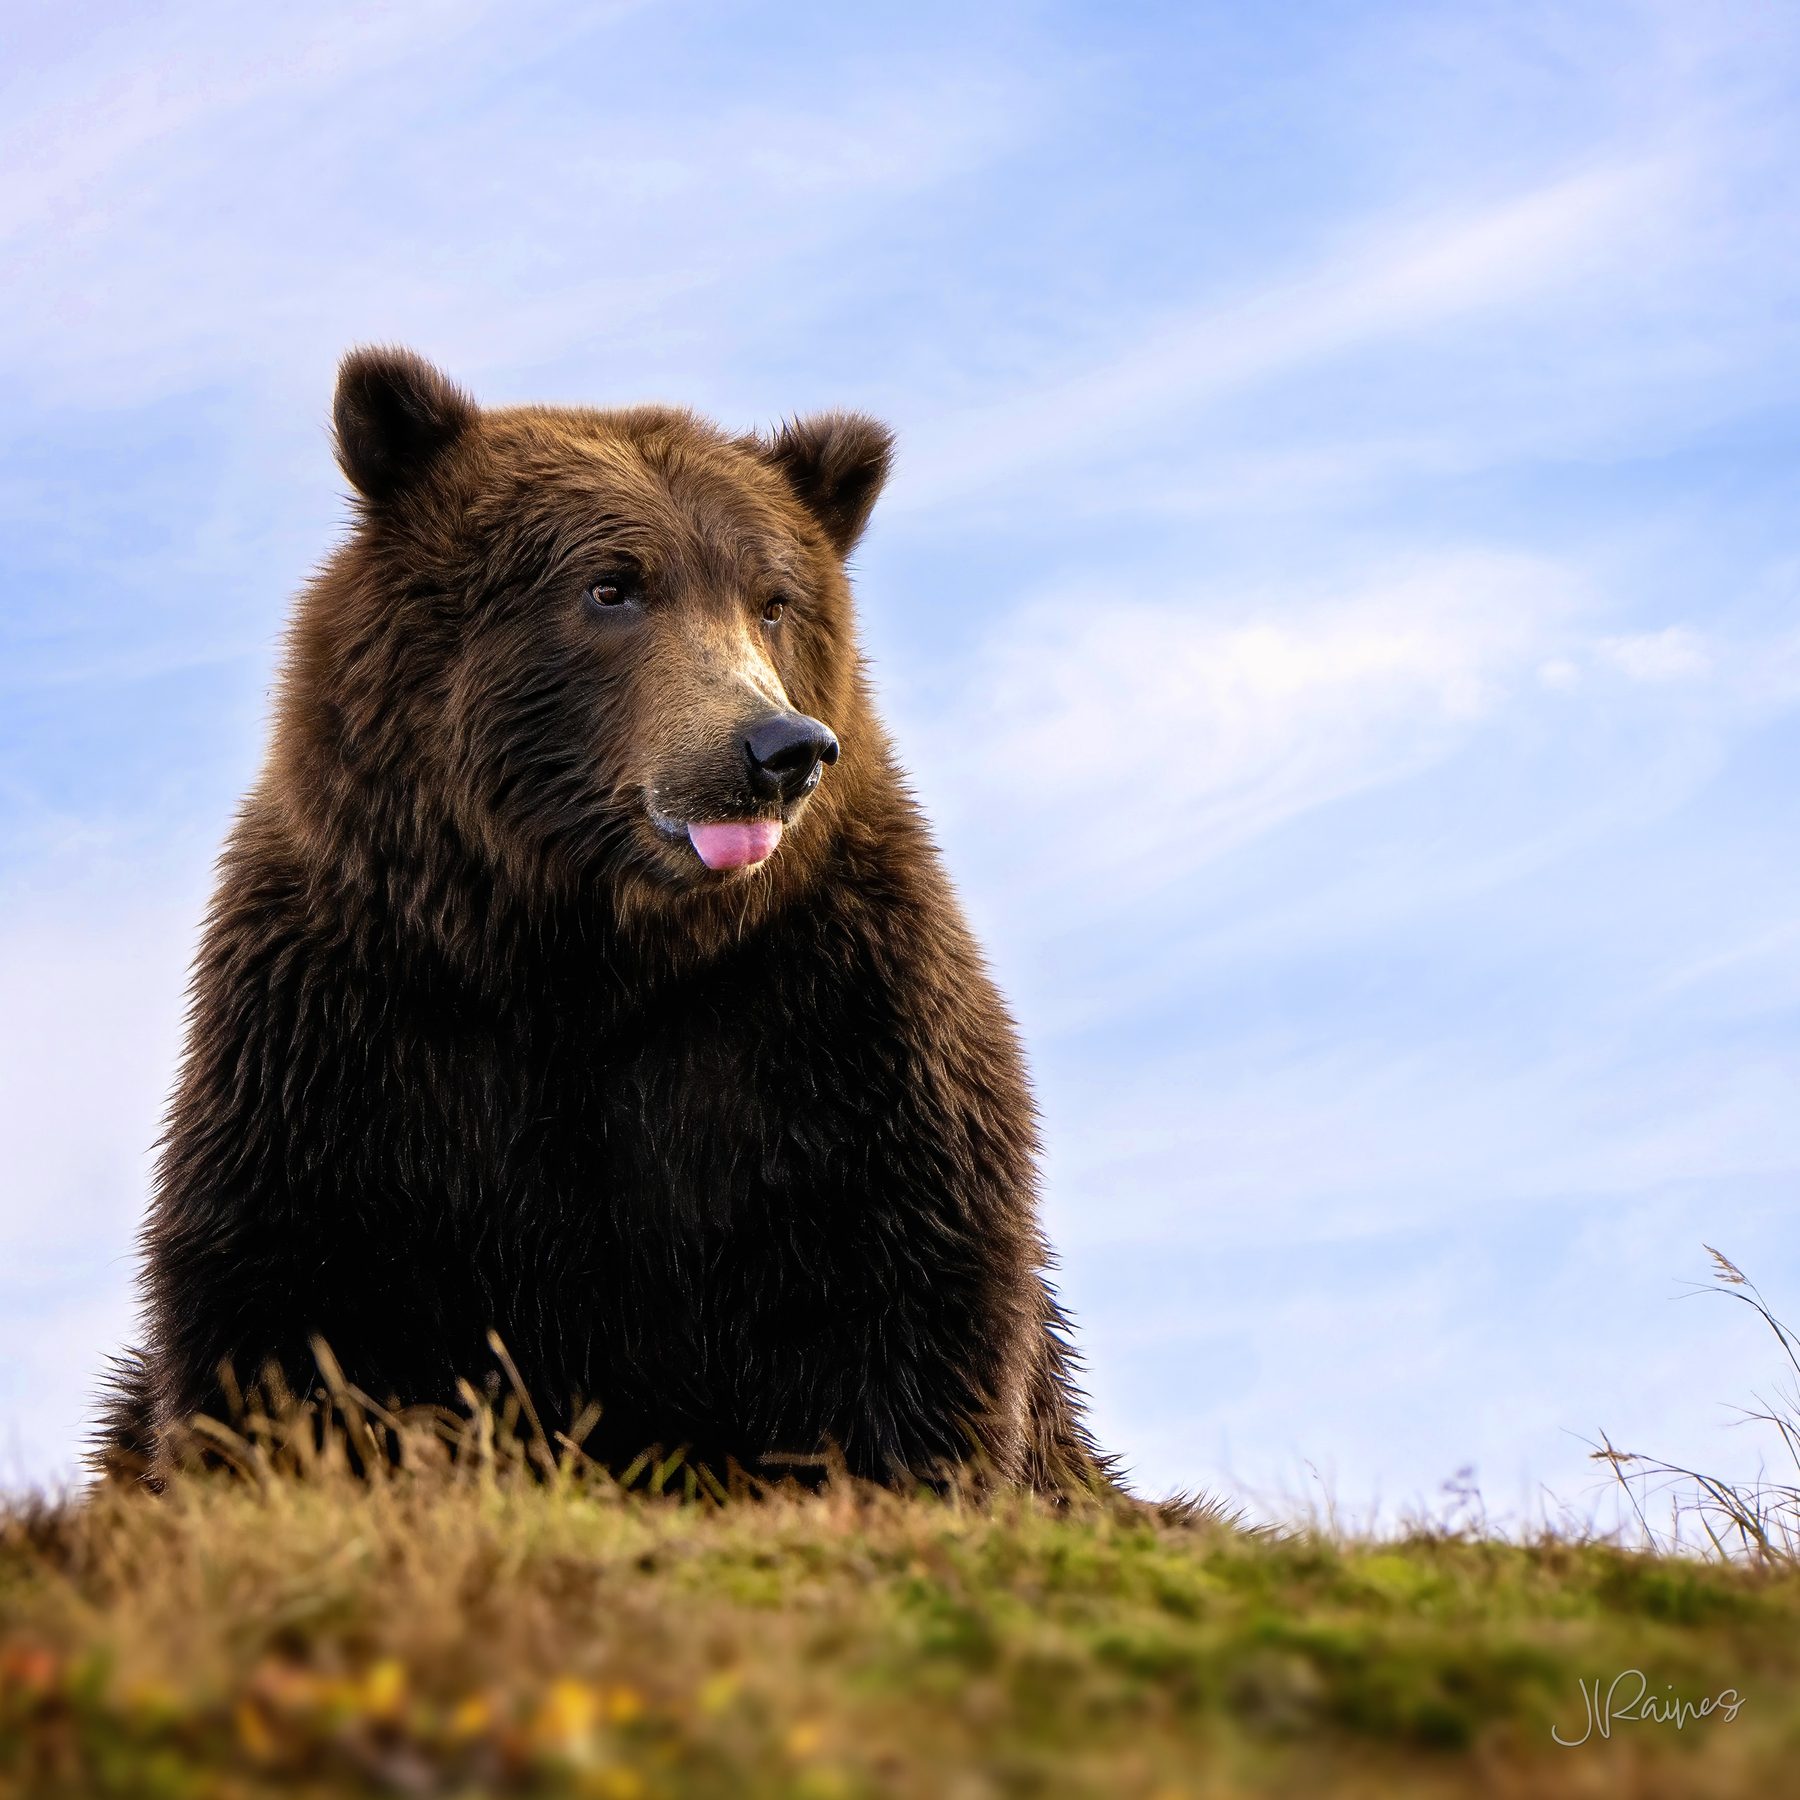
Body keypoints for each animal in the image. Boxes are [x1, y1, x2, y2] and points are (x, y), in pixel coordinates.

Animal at [98, 347, 1110, 1496]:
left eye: (774, 599)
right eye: (612, 586)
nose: (779, 748)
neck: (585, 951)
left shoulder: (824, 1011)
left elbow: (895, 1276)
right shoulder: (355, 1016)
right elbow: (295, 1295)